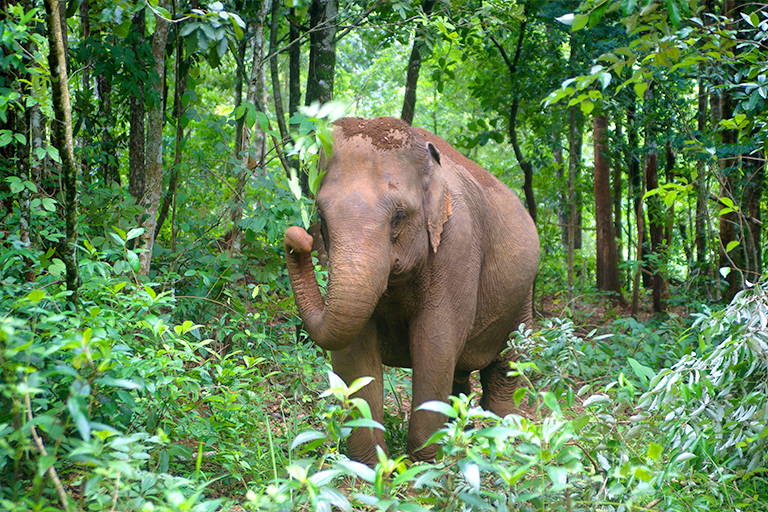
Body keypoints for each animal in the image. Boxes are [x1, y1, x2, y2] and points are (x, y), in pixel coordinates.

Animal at [284, 117, 540, 468]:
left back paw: (503, 444)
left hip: (523, 297)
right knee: (460, 376)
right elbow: (353, 353)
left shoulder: (458, 245)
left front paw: (422, 469)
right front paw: (369, 469)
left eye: (399, 217)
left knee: (505, 369)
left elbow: (435, 344)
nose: (297, 238)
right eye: (321, 216)